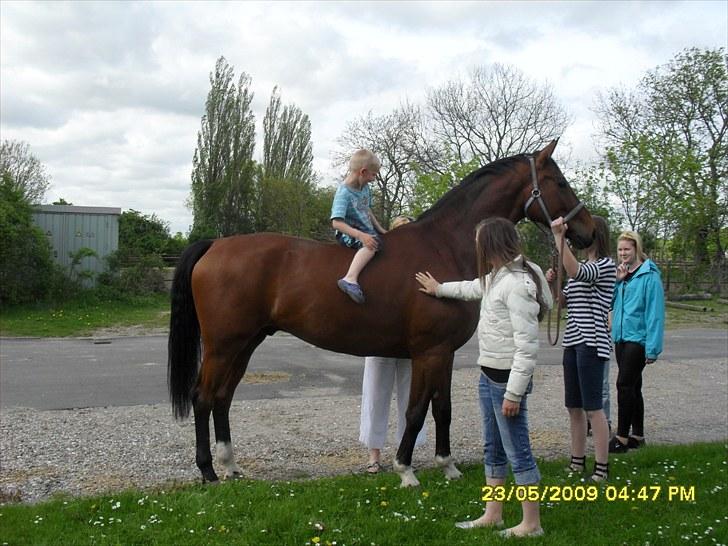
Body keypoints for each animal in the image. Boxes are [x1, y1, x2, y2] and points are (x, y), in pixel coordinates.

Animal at [168, 139, 596, 484]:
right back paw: (208, 471)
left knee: (223, 397)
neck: (443, 246)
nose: (588, 231)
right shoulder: (429, 352)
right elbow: (416, 411)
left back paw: (230, 466)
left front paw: (448, 466)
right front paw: (406, 470)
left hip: (245, 344)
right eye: (560, 182)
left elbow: (442, 408)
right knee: (203, 397)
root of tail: (215, 245)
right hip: (224, 345)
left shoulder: (443, 354)